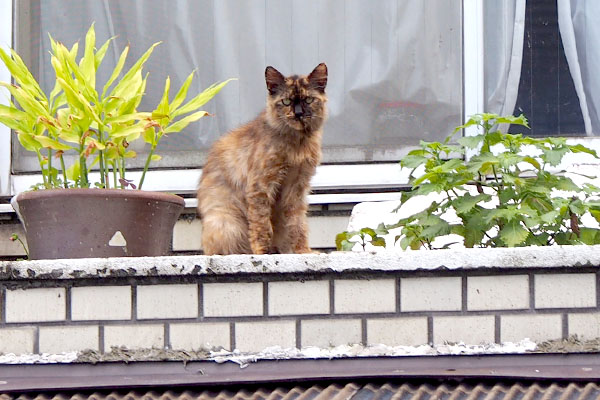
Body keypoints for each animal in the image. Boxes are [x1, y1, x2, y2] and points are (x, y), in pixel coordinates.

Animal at [197, 63, 328, 255]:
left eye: (309, 100)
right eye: (286, 101)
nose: (298, 113)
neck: (297, 144)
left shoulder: (296, 187)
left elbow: (298, 224)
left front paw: (303, 250)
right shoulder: (261, 186)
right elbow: (261, 224)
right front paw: (262, 252)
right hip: (227, 222)